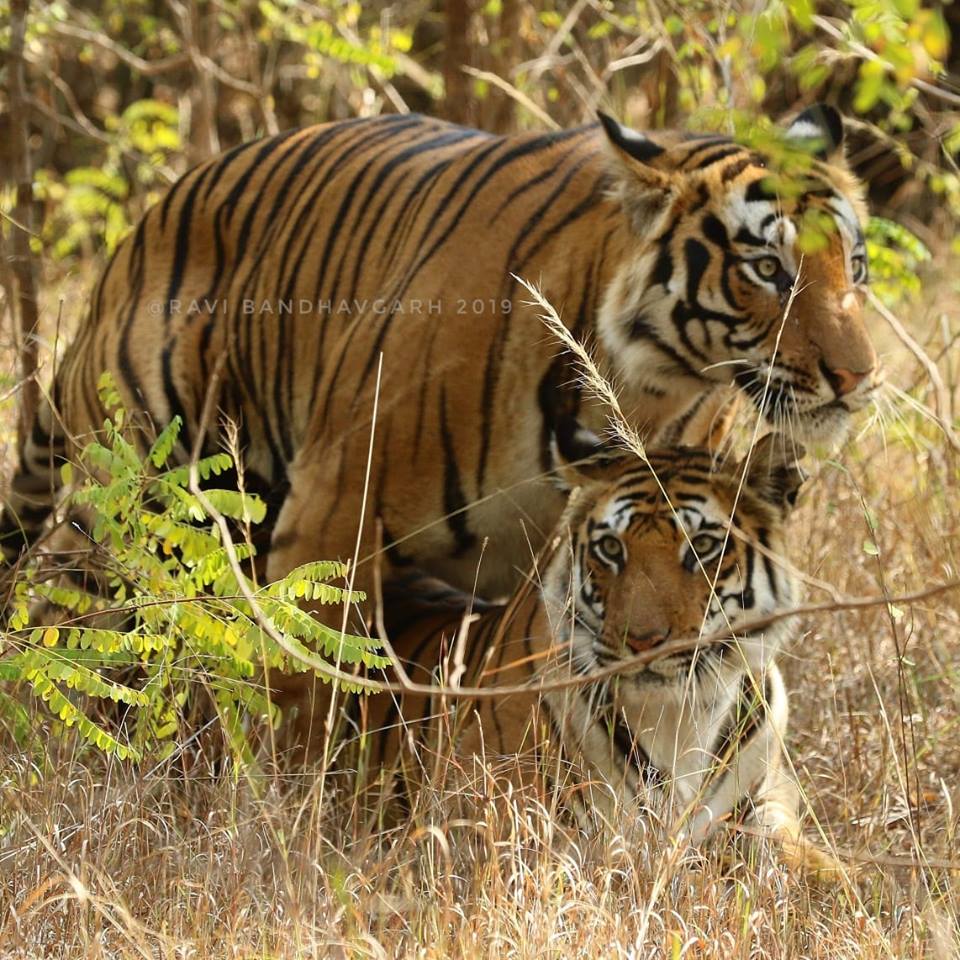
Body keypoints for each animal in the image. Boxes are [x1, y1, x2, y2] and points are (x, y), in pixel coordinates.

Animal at [1, 103, 876, 608]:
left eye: (856, 266)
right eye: (768, 269)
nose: (858, 378)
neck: (644, 388)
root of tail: (137, 235)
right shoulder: (330, 516)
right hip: (142, 488)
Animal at [358, 432, 840, 872]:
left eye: (702, 546)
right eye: (611, 548)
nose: (642, 640)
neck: (683, 715)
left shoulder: (767, 802)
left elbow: (815, 863)